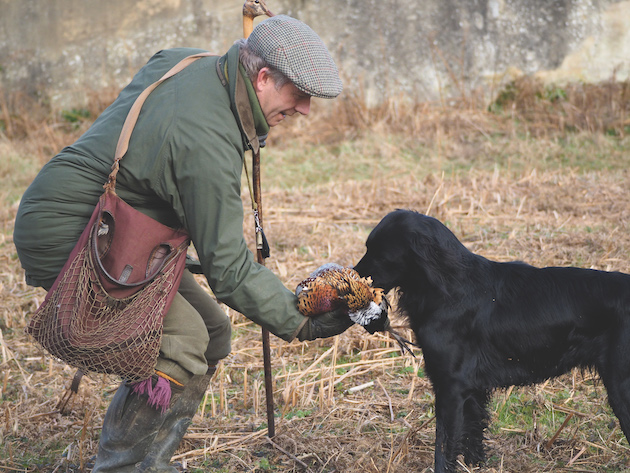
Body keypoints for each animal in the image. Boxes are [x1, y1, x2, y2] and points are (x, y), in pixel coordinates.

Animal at [356, 209, 630, 472]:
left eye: (380, 254)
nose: (352, 277)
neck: (448, 286)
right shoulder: (472, 390)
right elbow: (472, 437)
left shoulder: (451, 386)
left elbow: (444, 447)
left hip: (621, 387)